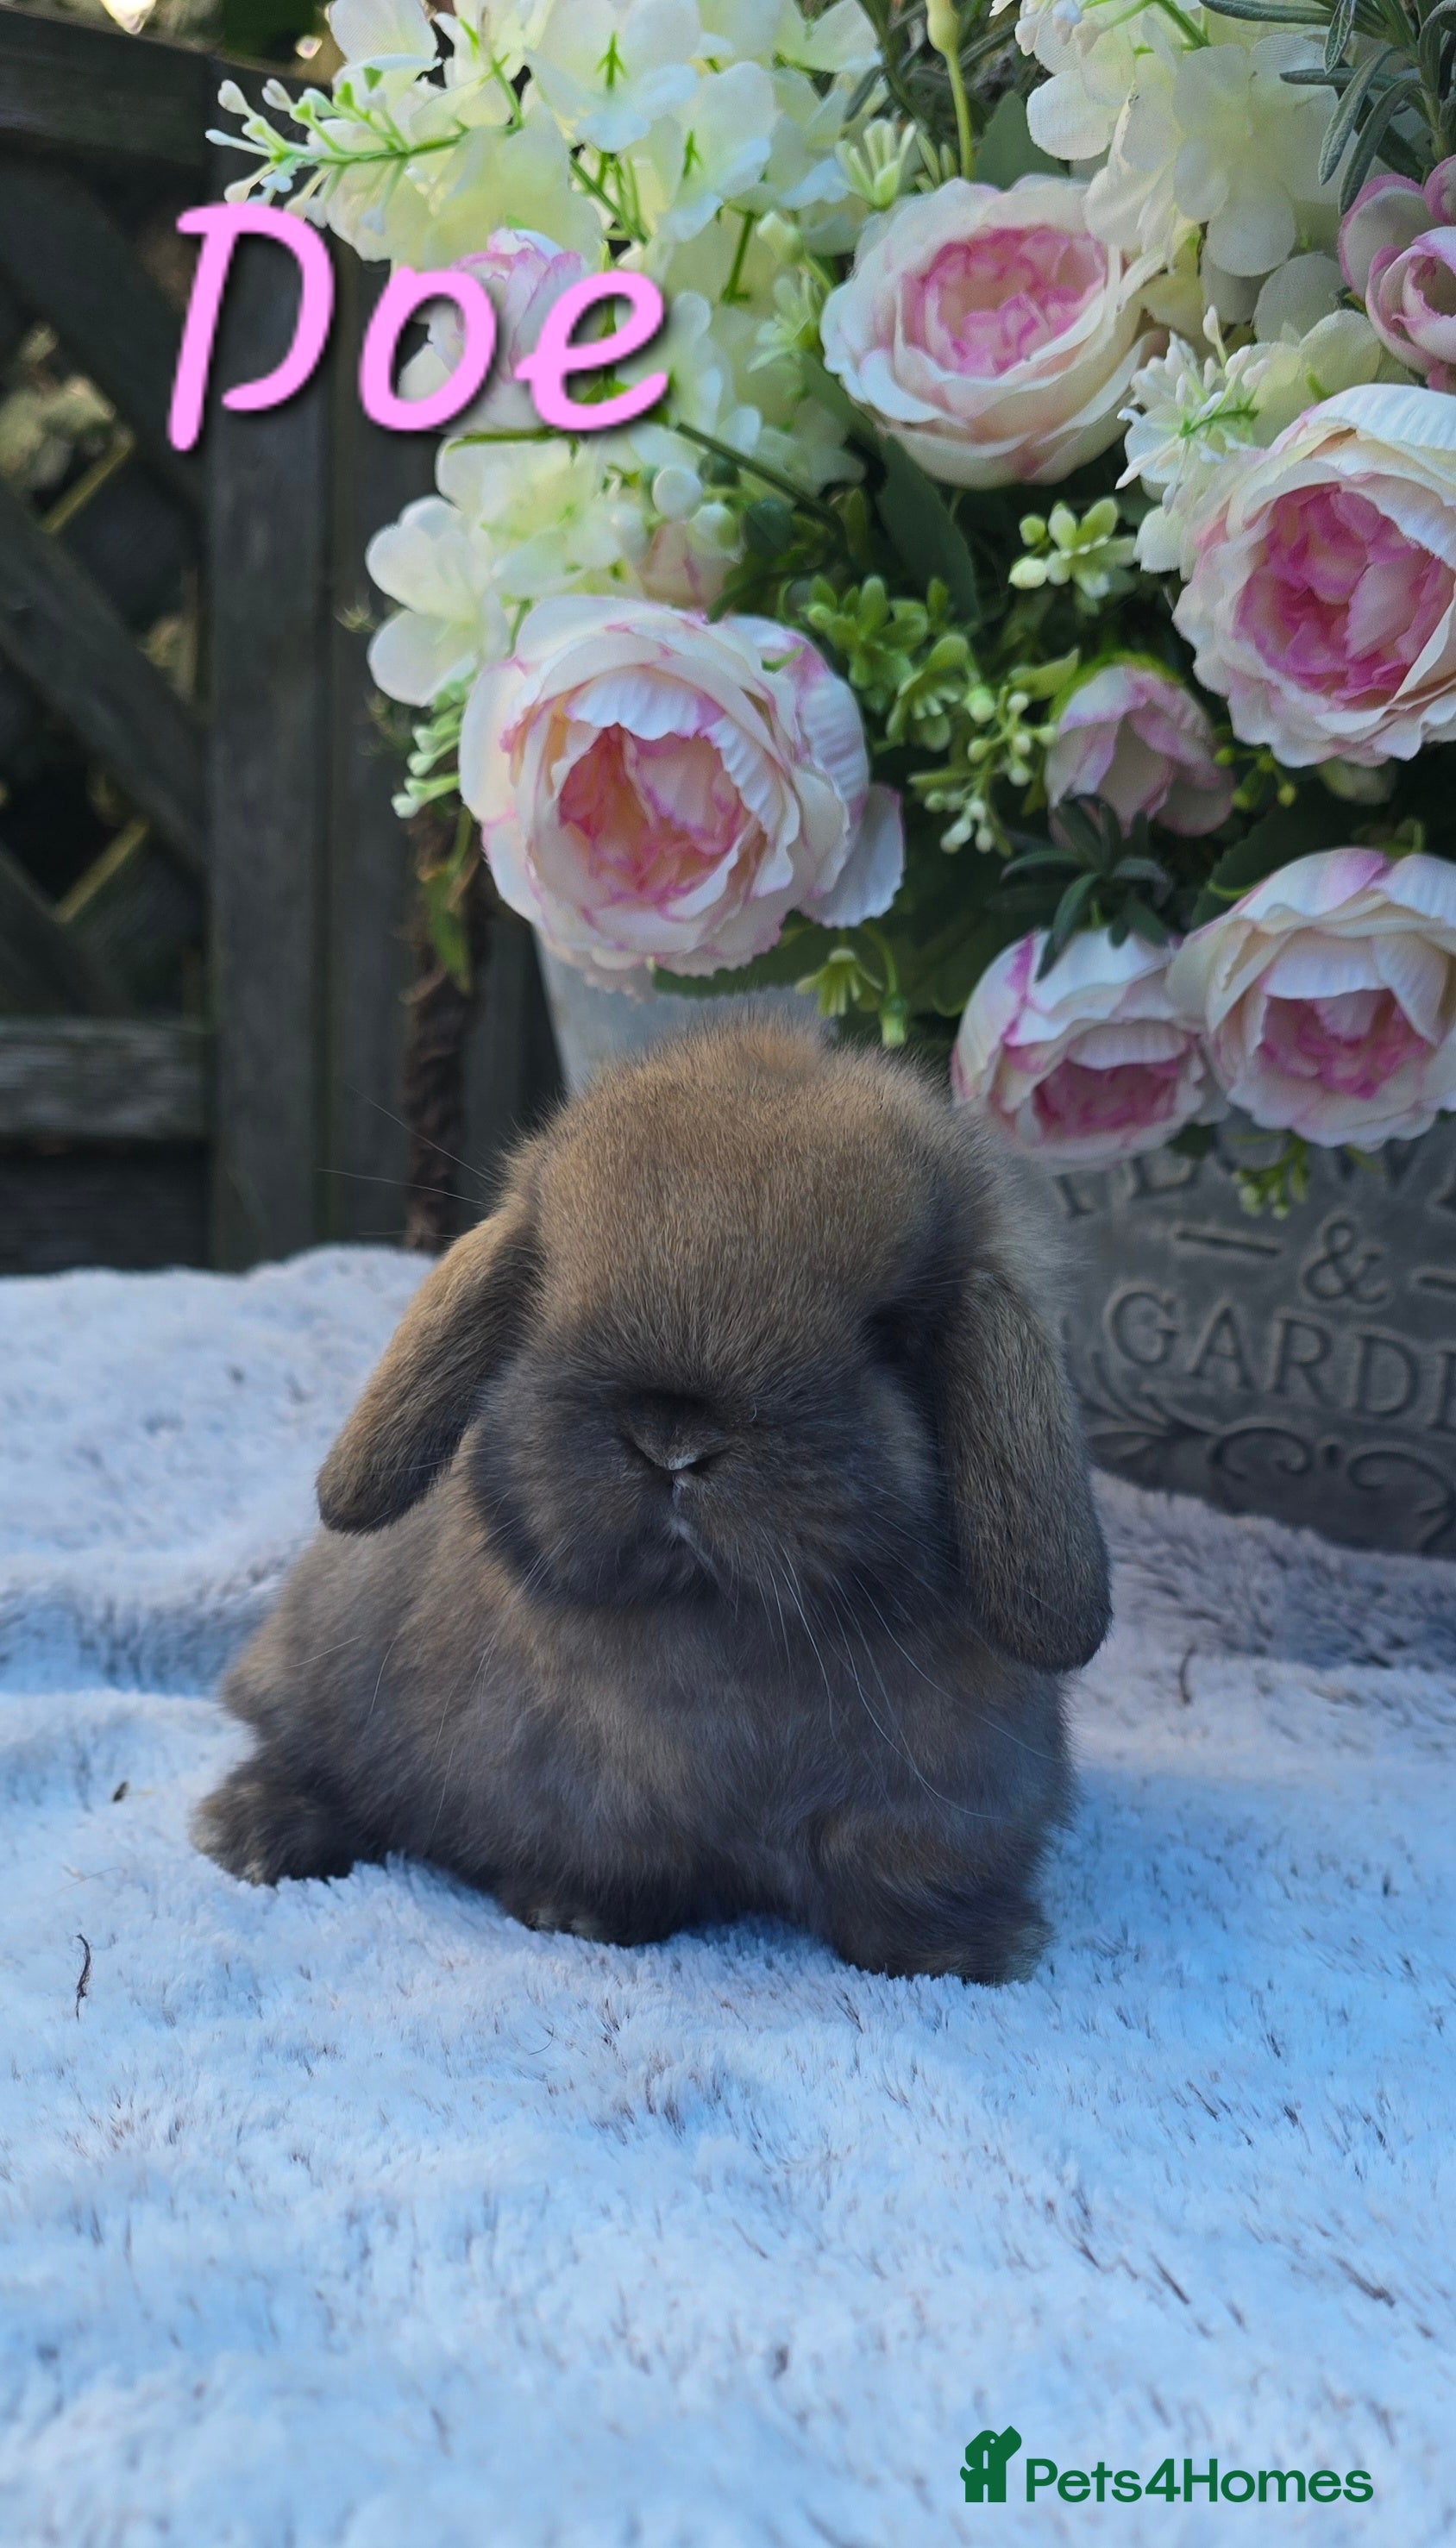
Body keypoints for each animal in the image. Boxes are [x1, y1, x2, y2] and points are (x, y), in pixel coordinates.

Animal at [193, 1016, 1110, 1984]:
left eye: (891, 1333)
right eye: (547, 1287)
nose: (673, 1438)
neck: (718, 1626)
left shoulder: (934, 1810)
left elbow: (901, 1889)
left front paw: (966, 1955)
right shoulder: (589, 1799)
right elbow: (609, 1863)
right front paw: (577, 1914)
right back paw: (250, 1832)